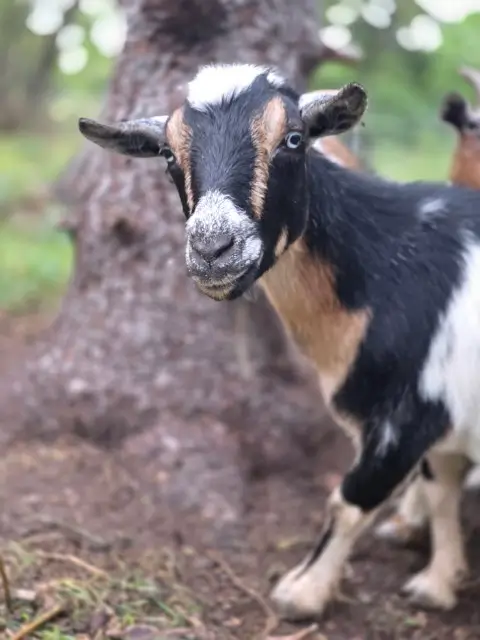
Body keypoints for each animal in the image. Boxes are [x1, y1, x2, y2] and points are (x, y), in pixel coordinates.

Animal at [78, 63, 480, 621]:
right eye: (168, 154)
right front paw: (439, 583)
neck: (388, 267)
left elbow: (351, 500)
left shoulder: (409, 415)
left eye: (294, 139)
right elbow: (441, 487)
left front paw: (302, 592)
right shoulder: (443, 415)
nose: (213, 249)